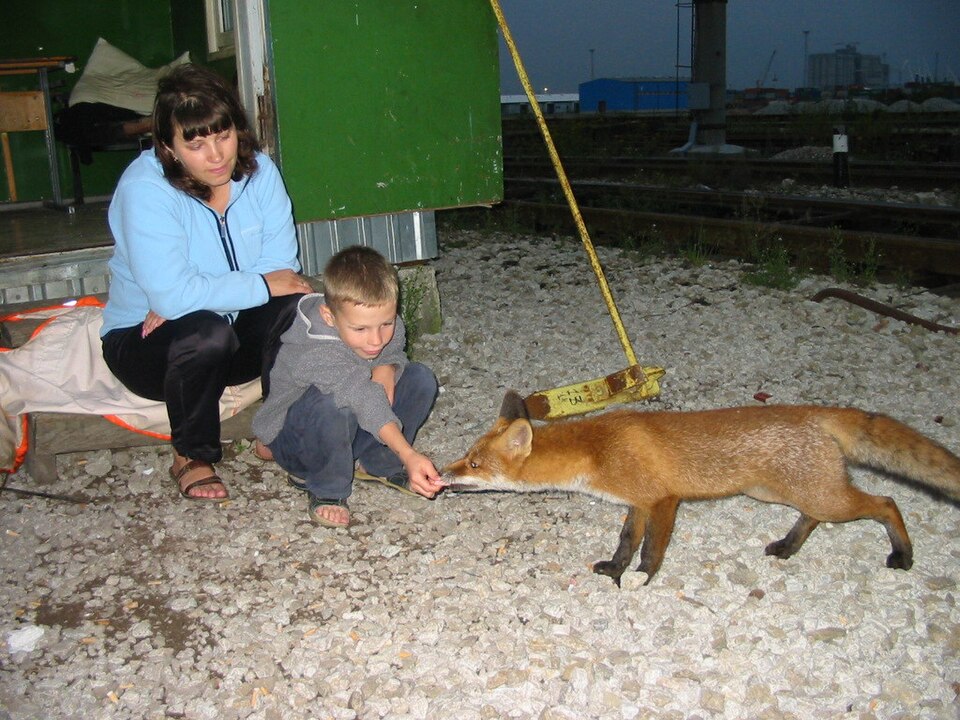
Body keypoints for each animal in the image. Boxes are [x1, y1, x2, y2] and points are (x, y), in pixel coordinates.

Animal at [442, 391, 960, 586]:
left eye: (474, 463)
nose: (443, 474)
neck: (596, 451)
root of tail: (810, 412)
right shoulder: (637, 503)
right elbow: (626, 542)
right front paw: (616, 570)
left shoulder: (663, 500)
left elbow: (652, 549)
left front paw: (642, 582)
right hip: (779, 493)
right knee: (812, 517)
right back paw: (789, 546)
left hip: (825, 497)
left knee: (887, 502)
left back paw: (903, 554)